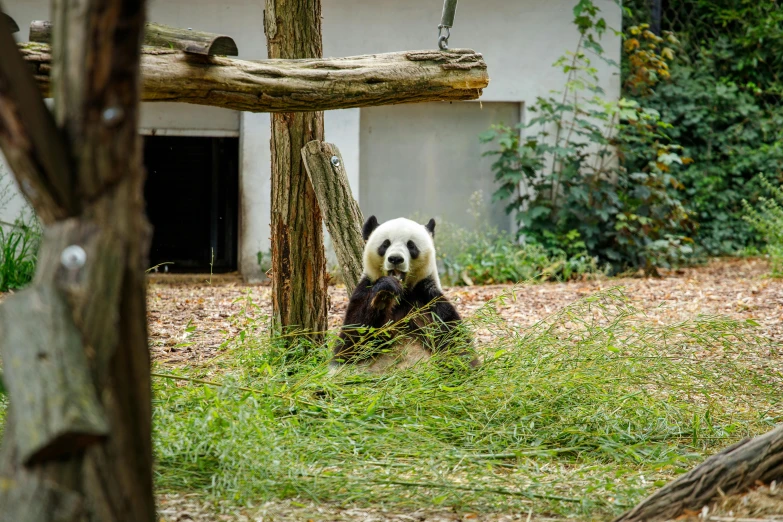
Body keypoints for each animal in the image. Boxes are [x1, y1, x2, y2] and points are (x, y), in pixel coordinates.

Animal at [330, 213, 480, 372]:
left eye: (411, 245)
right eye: (385, 244)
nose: (395, 258)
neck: (402, 294)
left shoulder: (428, 299)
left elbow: (455, 341)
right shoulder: (364, 289)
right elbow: (352, 342)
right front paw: (383, 295)